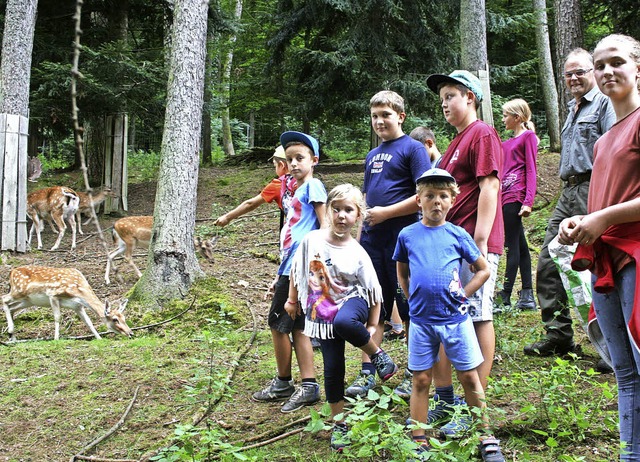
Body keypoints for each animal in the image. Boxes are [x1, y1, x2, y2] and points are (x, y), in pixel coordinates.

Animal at [1, 266, 133, 342]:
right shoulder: (53, 294)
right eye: (115, 319)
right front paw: (56, 339)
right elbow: (57, 317)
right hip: (18, 291)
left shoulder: (77, 306)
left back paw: (12, 337)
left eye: (124, 317)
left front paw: (99, 338)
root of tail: (11, 272)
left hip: (28, 300)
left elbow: (88, 322)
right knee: (3, 298)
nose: (130, 332)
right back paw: (11, 330)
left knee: (12, 308)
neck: (78, 290)